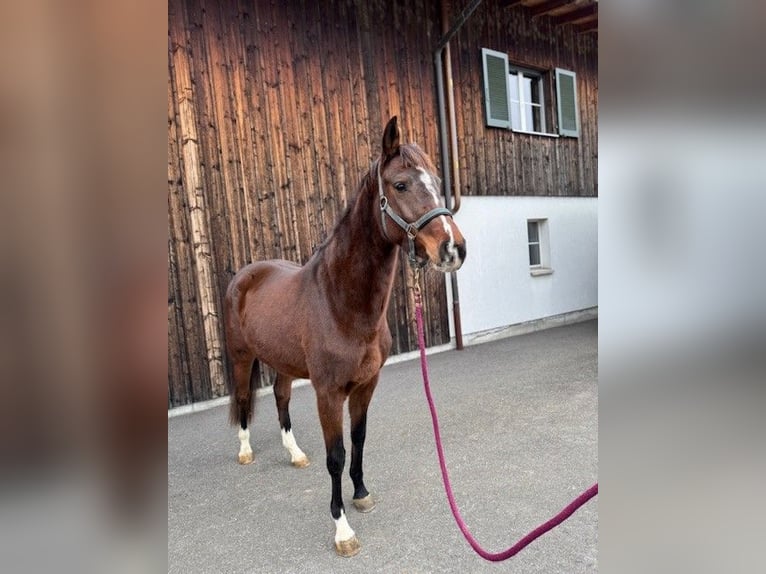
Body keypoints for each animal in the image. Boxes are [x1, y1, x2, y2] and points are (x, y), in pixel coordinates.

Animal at [225, 117, 468, 560]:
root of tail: (246, 274)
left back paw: (295, 454)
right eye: (401, 184)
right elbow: (336, 456)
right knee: (244, 398)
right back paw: (246, 450)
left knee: (281, 397)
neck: (341, 302)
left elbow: (358, 439)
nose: (452, 248)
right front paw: (342, 530)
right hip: (240, 355)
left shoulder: (366, 384)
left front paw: (361, 494)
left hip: (283, 362)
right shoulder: (328, 392)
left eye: (439, 181)